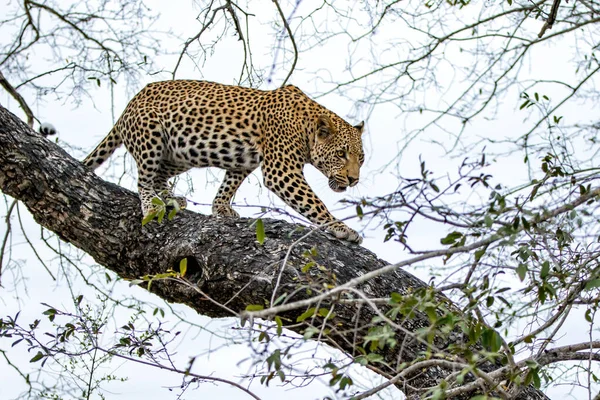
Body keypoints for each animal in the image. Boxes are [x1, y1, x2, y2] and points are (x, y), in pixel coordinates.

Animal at [84, 79, 366, 242]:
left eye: (361, 159)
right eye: (341, 154)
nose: (354, 179)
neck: (306, 126)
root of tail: (127, 107)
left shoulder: (244, 160)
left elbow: (229, 183)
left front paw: (220, 208)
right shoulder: (281, 170)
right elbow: (314, 203)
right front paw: (341, 228)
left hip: (181, 152)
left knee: (159, 174)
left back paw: (170, 198)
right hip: (151, 134)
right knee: (144, 178)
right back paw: (152, 204)